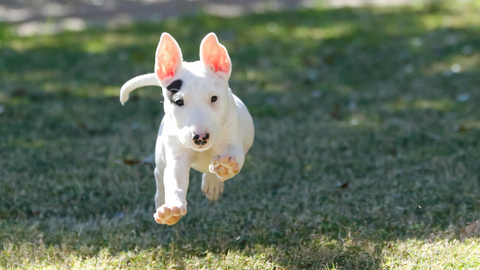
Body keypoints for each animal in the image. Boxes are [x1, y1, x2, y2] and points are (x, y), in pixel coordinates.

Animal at [119, 32, 255, 225]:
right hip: (161, 153)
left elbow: (233, 154)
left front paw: (225, 167)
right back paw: (161, 200)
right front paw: (172, 210)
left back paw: (213, 182)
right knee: (160, 174)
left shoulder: (231, 137)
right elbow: (175, 179)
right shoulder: (177, 156)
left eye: (214, 98)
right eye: (178, 101)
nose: (200, 137)